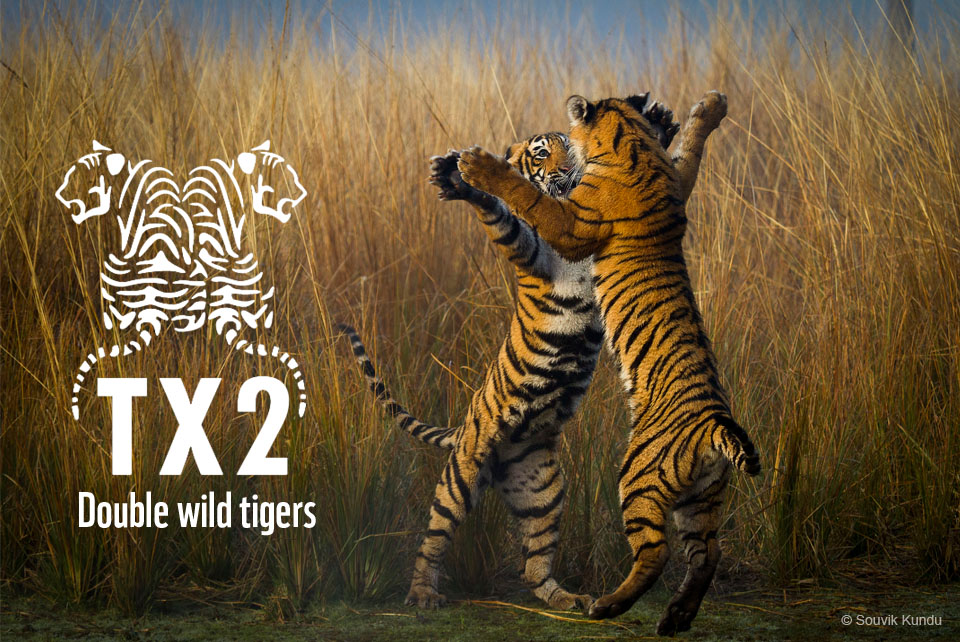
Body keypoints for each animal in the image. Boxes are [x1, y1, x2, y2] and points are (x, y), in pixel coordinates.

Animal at [337, 96, 725, 613]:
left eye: (568, 147)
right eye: (541, 154)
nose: (568, 170)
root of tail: (472, 431)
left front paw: (659, 121)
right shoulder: (532, 250)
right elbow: (503, 209)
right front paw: (461, 176)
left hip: (544, 487)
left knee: (534, 562)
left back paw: (567, 598)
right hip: (462, 472)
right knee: (434, 536)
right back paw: (422, 593)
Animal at [456, 90, 759, 636]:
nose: (560, 164)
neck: (631, 145)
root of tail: (713, 425)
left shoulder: (574, 222)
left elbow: (529, 198)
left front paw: (480, 165)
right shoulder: (677, 180)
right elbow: (690, 151)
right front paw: (709, 107)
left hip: (638, 476)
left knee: (656, 553)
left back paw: (607, 606)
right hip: (703, 496)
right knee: (707, 553)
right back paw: (676, 617)